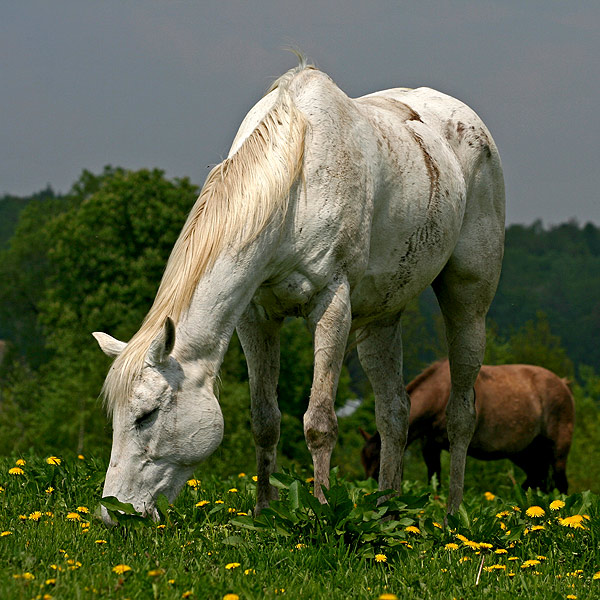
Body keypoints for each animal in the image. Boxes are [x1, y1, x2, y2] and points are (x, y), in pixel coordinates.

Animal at [95, 58, 506, 524]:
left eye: (146, 415)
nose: (113, 513)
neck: (293, 188)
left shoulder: (332, 306)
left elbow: (319, 423)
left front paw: (323, 513)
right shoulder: (255, 318)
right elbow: (264, 420)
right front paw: (263, 512)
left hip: (468, 301)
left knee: (461, 414)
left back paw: (453, 516)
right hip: (382, 318)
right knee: (394, 414)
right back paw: (386, 513)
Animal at [358, 360, 576, 492]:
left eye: (378, 467)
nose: (371, 491)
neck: (441, 394)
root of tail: (563, 383)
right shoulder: (429, 445)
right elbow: (434, 479)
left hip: (557, 449)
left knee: (560, 483)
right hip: (525, 452)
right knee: (537, 479)